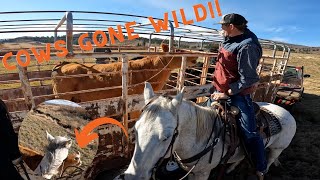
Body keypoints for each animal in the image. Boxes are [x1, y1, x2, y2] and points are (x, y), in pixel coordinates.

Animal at [118, 82, 298, 179]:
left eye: (166, 137)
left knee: (268, 160)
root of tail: (286, 111)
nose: (132, 176)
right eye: (135, 130)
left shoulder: (202, 173)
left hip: (276, 149)